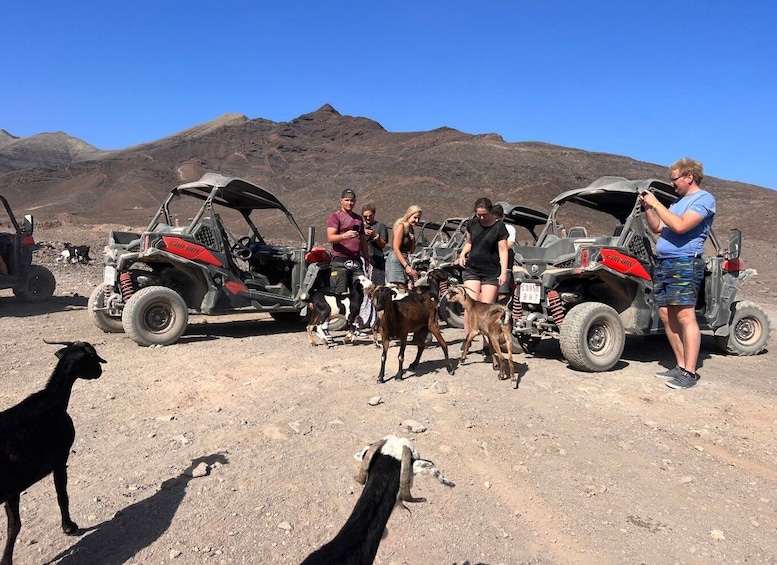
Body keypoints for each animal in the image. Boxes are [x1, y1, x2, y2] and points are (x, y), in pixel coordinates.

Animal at [0, 340, 106, 564]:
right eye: (93, 358)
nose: (100, 371)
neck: (53, 399)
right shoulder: (60, 459)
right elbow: (62, 496)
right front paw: (69, 527)